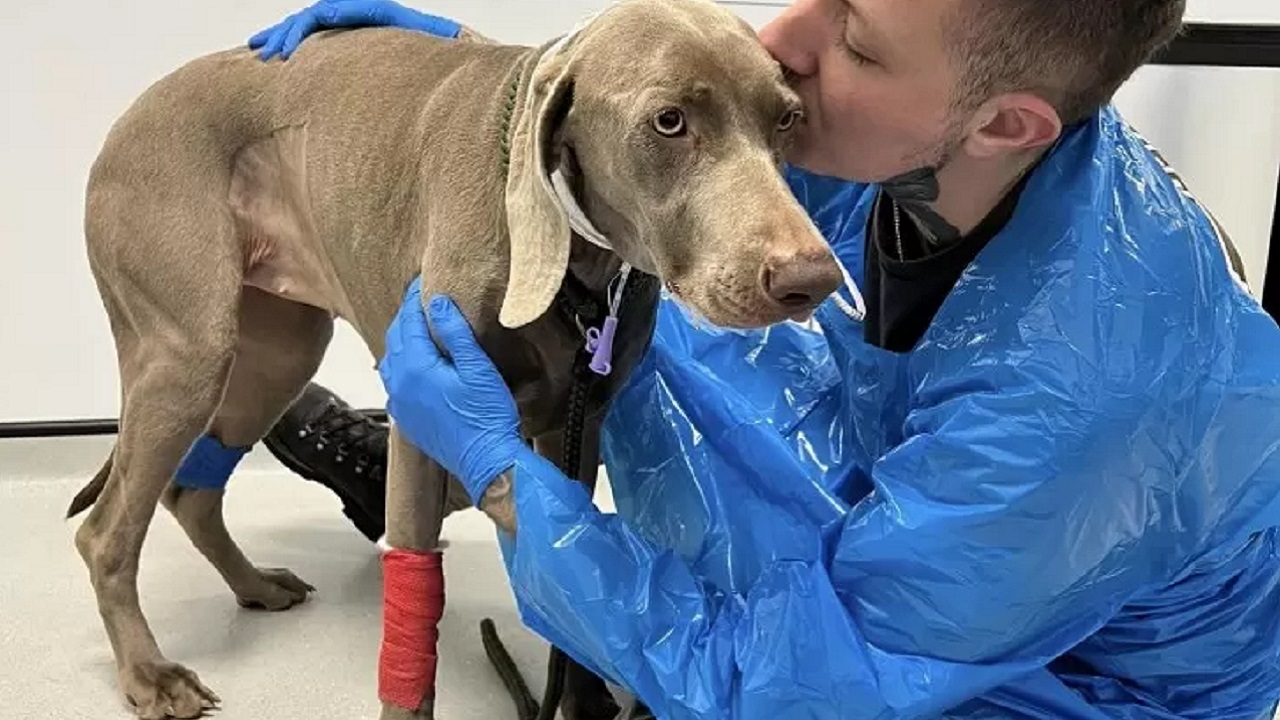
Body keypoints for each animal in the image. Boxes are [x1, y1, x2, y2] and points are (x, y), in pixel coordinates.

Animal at [67, 0, 849, 712]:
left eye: (786, 119)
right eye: (669, 121)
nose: (812, 280)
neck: (576, 271)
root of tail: (132, 112)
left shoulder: (574, 424)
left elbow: (575, 563)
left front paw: (584, 698)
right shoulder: (423, 418)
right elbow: (418, 586)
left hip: (278, 351)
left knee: (190, 492)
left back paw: (253, 585)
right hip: (189, 350)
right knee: (107, 531)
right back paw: (150, 674)